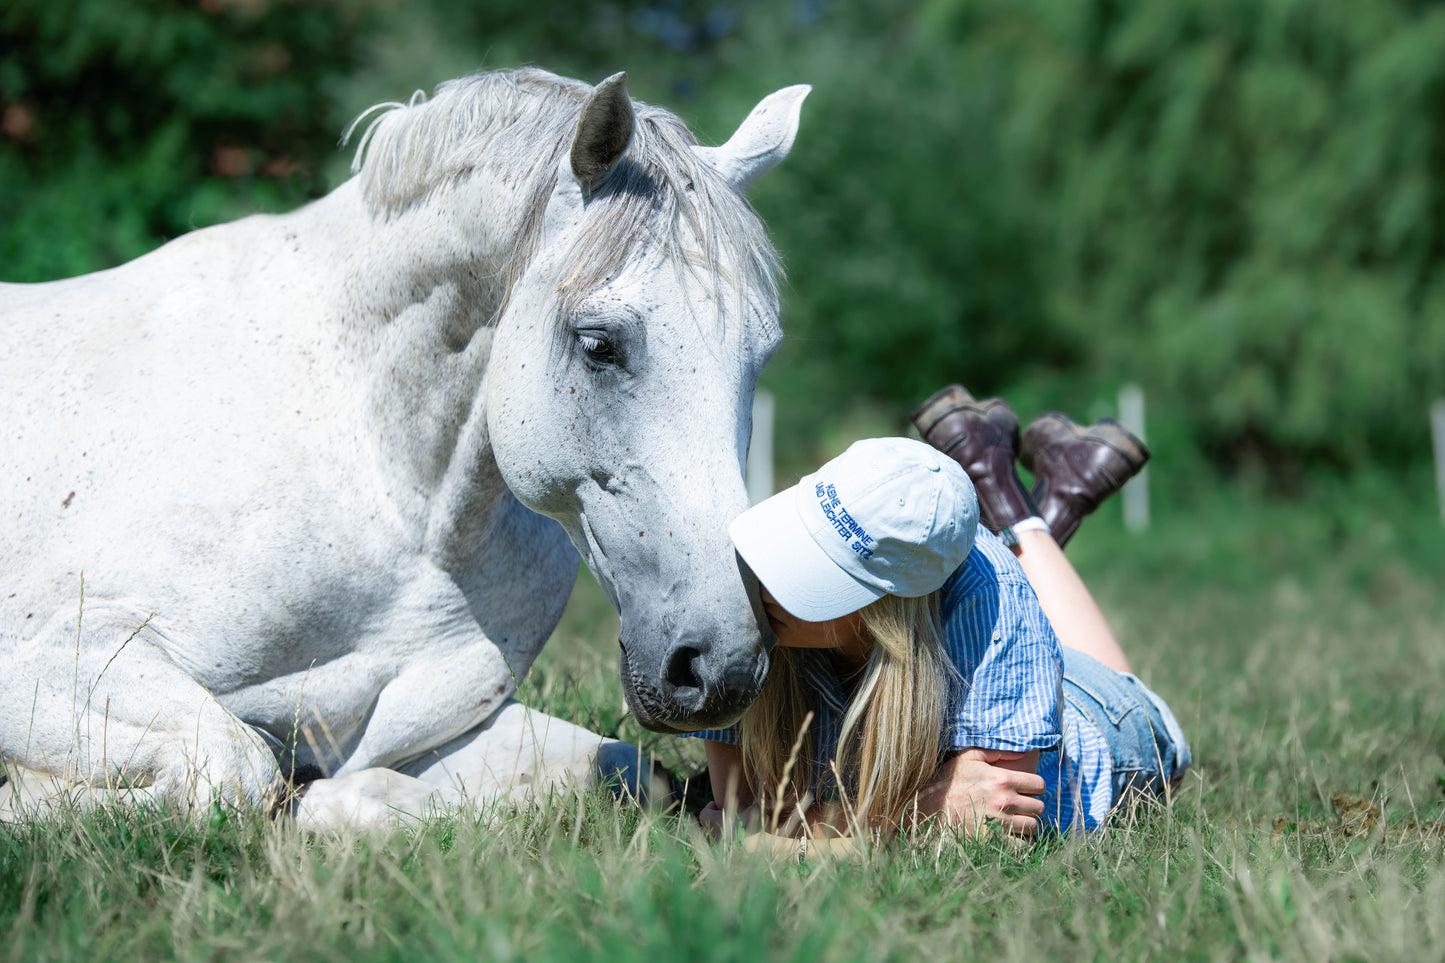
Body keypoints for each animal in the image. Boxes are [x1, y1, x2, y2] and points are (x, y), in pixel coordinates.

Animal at [0, 65, 809, 827]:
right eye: (599, 343)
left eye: (763, 351)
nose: (725, 666)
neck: (388, 486)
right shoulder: (51, 660)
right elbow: (236, 766)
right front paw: (30, 798)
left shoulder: (423, 730)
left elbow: (622, 770)